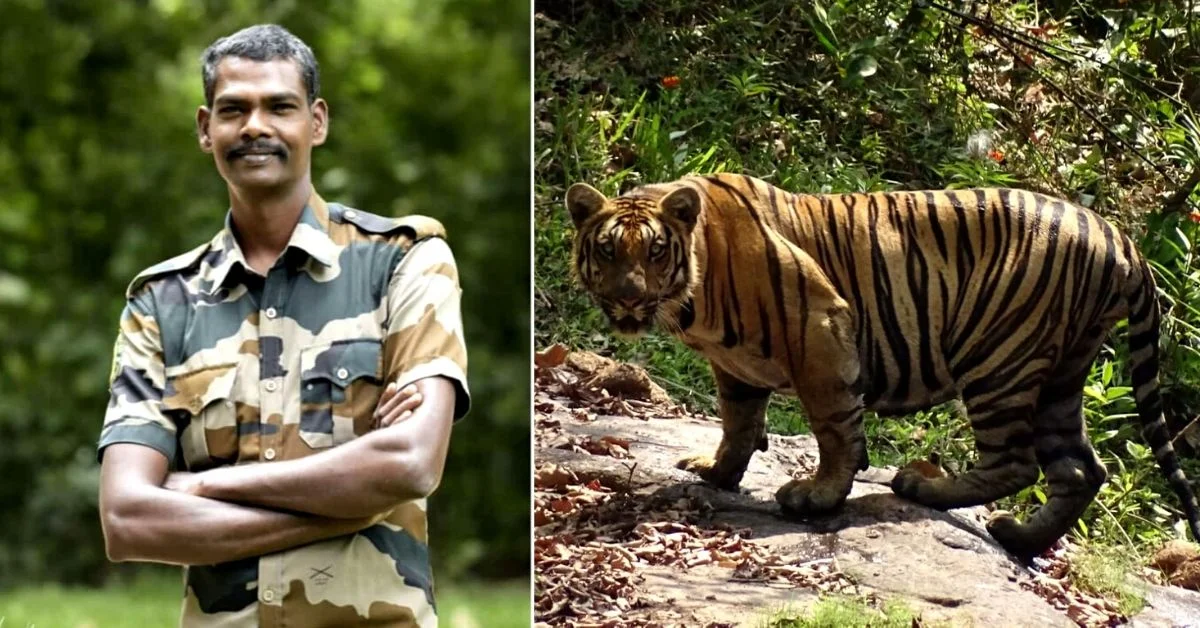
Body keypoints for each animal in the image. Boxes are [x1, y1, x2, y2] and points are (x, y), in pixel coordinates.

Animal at [564, 172, 1200, 558]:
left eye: (655, 251)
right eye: (607, 250)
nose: (627, 298)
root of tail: (1121, 237)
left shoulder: (820, 326)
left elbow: (833, 426)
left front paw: (819, 495)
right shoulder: (736, 368)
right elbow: (738, 423)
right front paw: (716, 472)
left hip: (999, 356)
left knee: (1017, 462)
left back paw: (925, 487)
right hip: (1063, 371)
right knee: (1079, 469)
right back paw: (1019, 536)